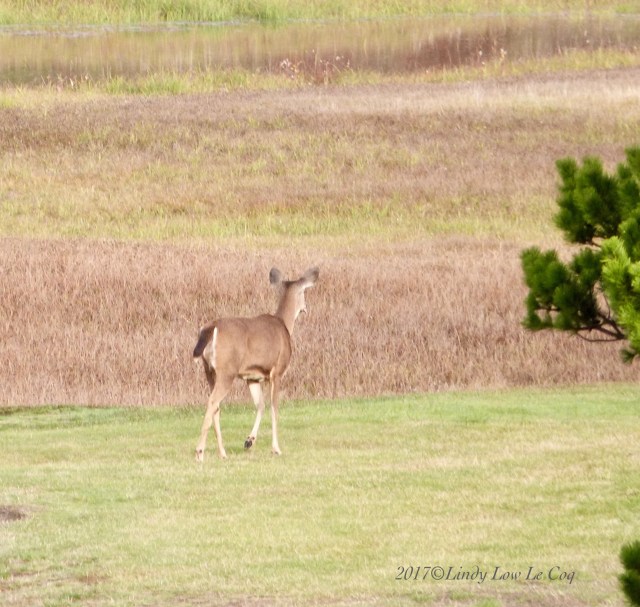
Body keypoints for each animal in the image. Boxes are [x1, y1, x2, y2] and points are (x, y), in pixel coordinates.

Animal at [192, 266, 319, 462]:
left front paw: (249, 441)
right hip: (227, 370)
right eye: (304, 292)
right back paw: (200, 452)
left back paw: (222, 453)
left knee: (216, 406)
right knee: (213, 401)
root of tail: (211, 328)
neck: (284, 325)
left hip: (209, 371)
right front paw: (276, 448)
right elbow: (274, 408)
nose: (305, 309)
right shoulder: (277, 371)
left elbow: (260, 405)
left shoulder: (252, 377)